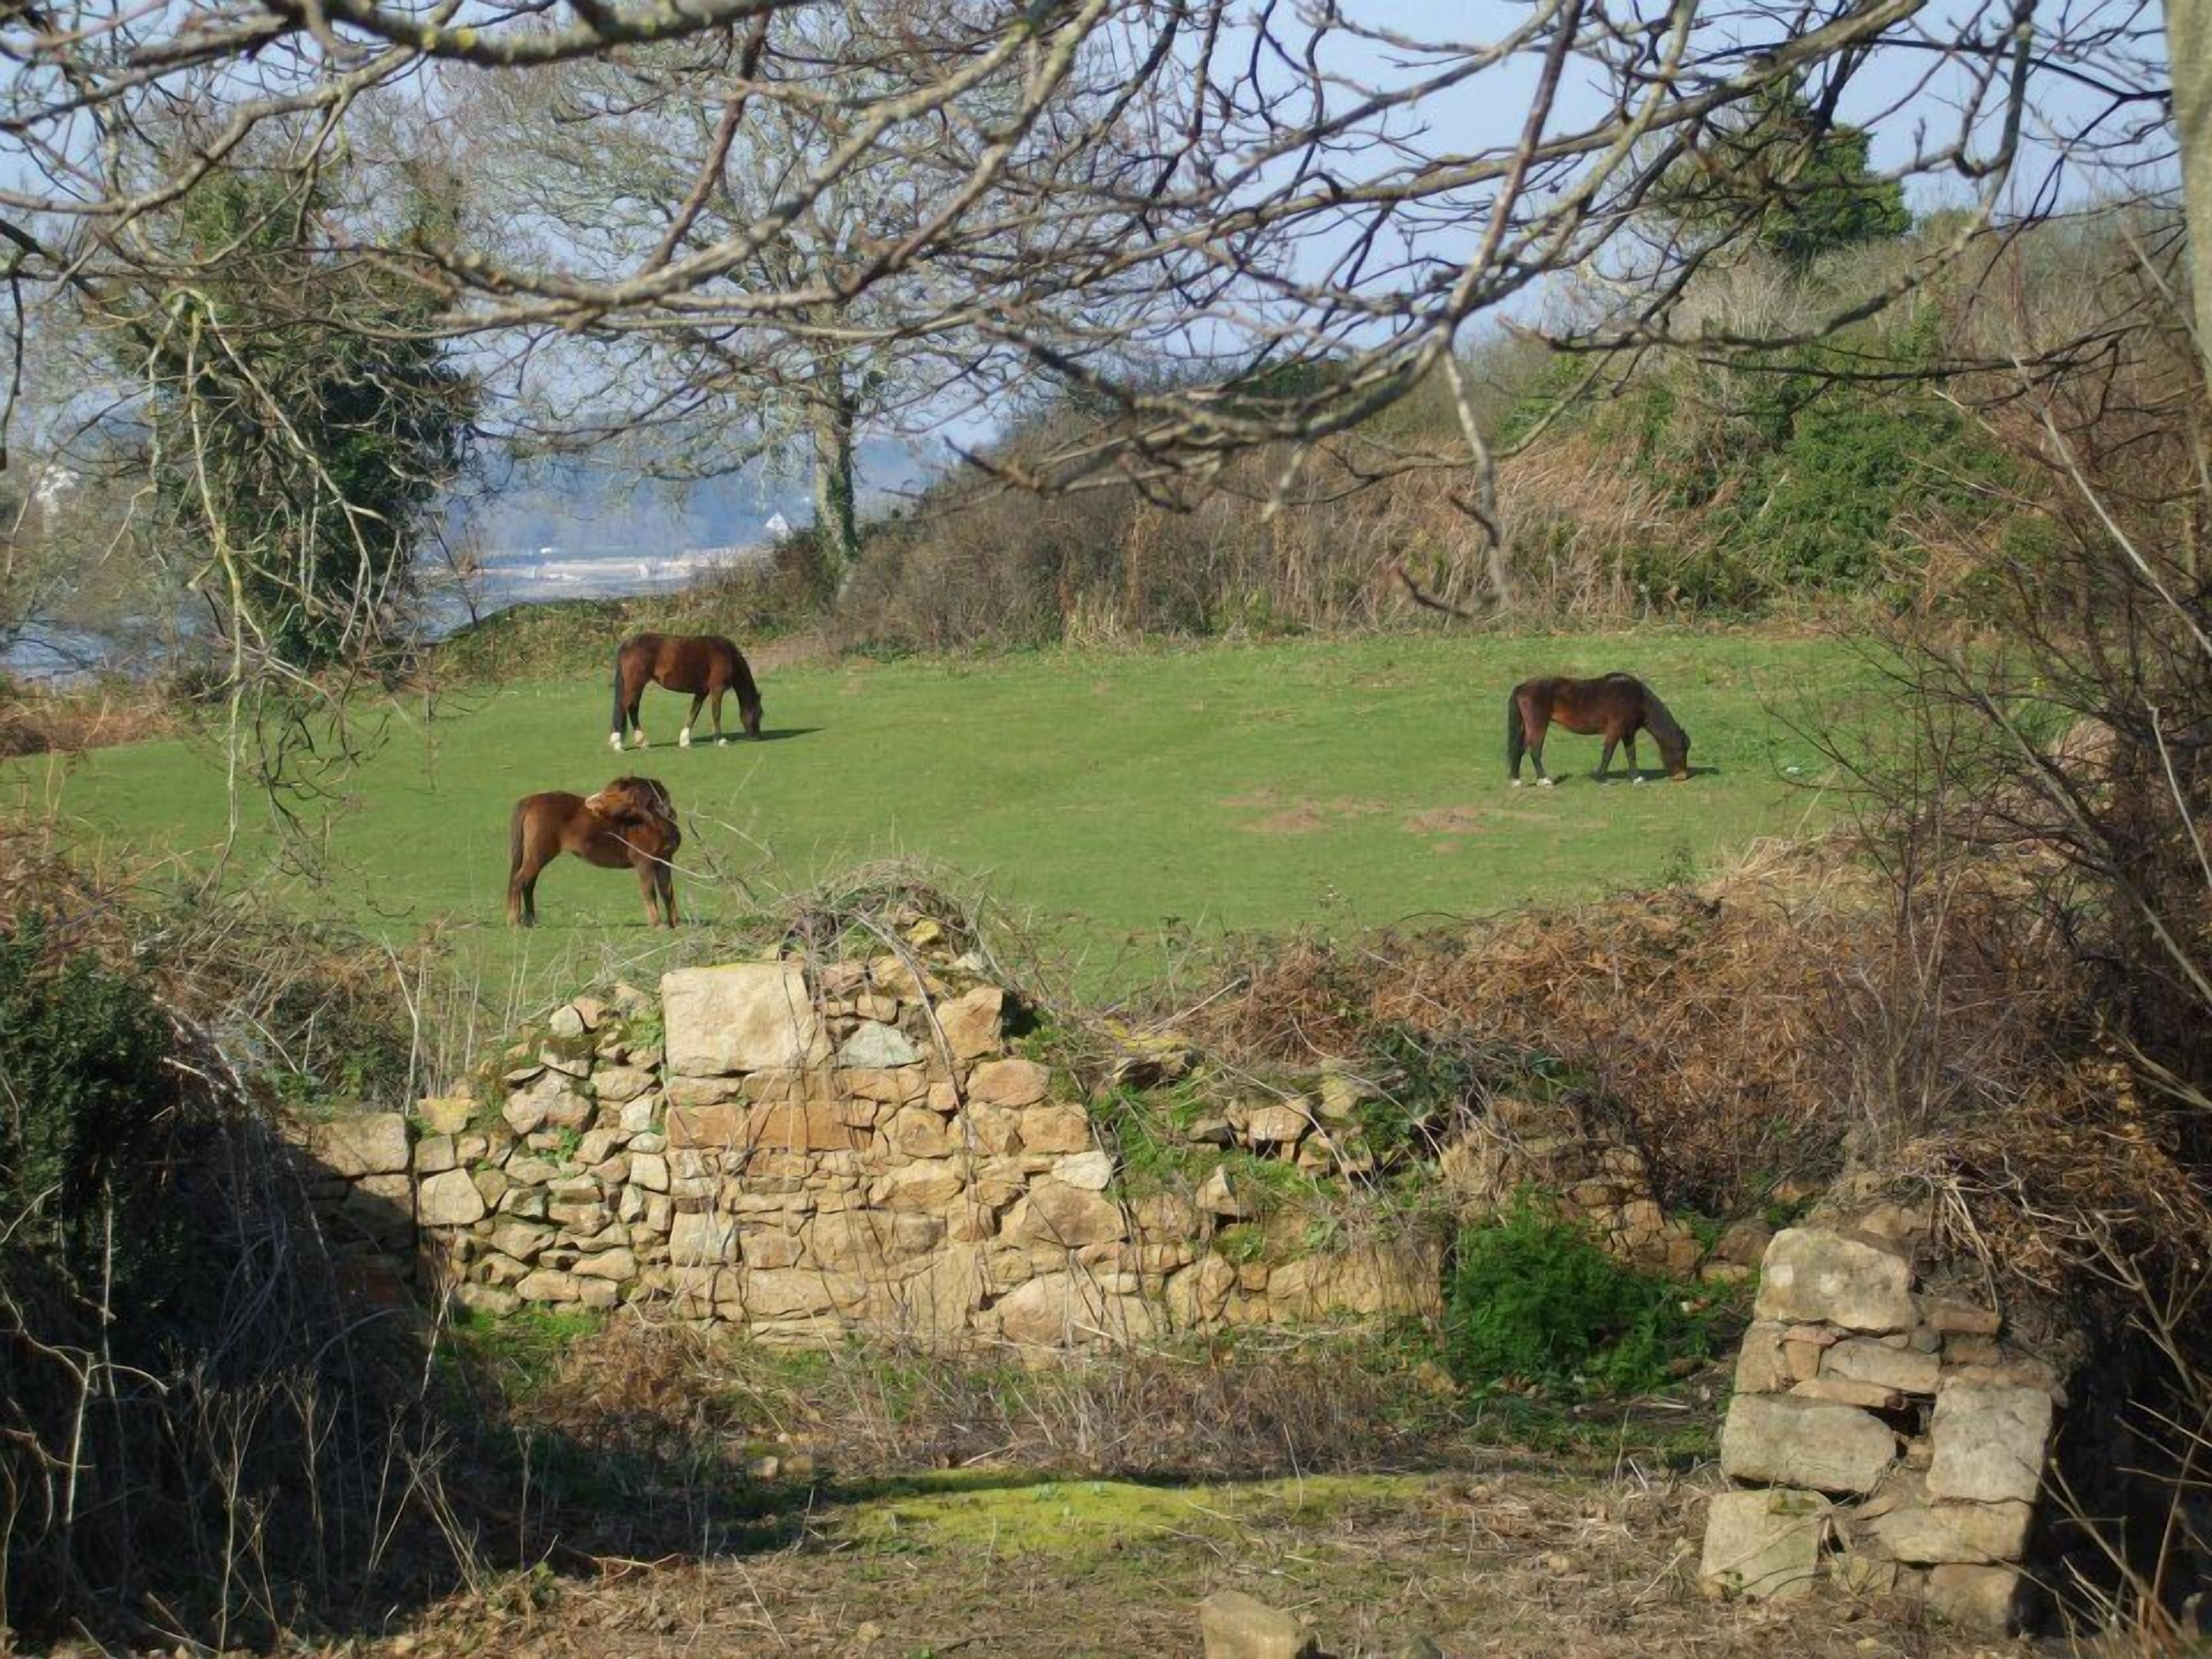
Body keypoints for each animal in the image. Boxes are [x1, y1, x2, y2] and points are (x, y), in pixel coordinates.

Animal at [507, 775, 681, 928]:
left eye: (611, 793)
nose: (589, 802)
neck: (654, 822)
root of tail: (530, 801)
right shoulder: (645, 862)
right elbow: (649, 892)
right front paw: (657, 924)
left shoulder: (664, 862)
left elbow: (668, 892)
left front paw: (675, 924)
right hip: (538, 856)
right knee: (518, 882)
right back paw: (514, 923)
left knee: (528, 885)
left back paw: (531, 922)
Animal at [610, 631, 763, 751]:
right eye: (760, 713)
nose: (757, 736)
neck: (727, 654)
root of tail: (628, 644)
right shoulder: (717, 689)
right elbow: (716, 714)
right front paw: (720, 740)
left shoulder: (702, 692)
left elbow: (693, 713)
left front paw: (684, 741)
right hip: (635, 685)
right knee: (625, 708)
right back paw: (619, 743)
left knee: (632, 709)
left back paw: (642, 742)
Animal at [1507, 674, 1691, 786]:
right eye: (1681, 750)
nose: (1682, 777)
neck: (1636, 697)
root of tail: (1522, 687)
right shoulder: (1615, 730)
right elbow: (1608, 753)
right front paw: (1602, 778)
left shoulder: (1628, 733)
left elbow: (1631, 754)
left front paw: (1636, 778)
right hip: (1538, 725)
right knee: (1535, 751)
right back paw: (1544, 780)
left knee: (1519, 750)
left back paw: (1516, 780)